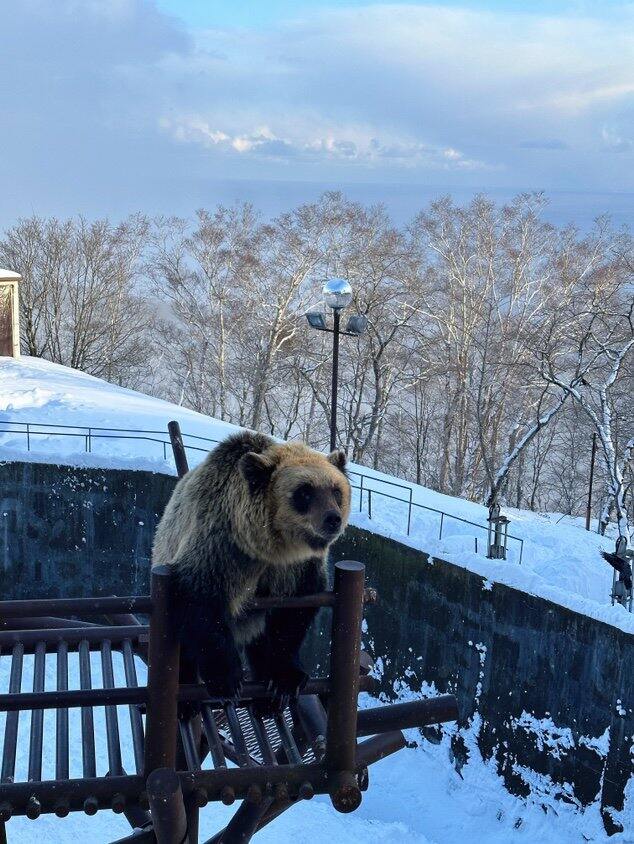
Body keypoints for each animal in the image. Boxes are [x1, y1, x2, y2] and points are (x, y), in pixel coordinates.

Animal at [151, 430, 350, 707]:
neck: (268, 548)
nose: (333, 519)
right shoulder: (221, 549)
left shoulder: (299, 569)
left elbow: (293, 616)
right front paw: (226, 680)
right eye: (304, 492)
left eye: (336, 490)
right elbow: (200, 601)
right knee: (181, 650)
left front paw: (285, 678)